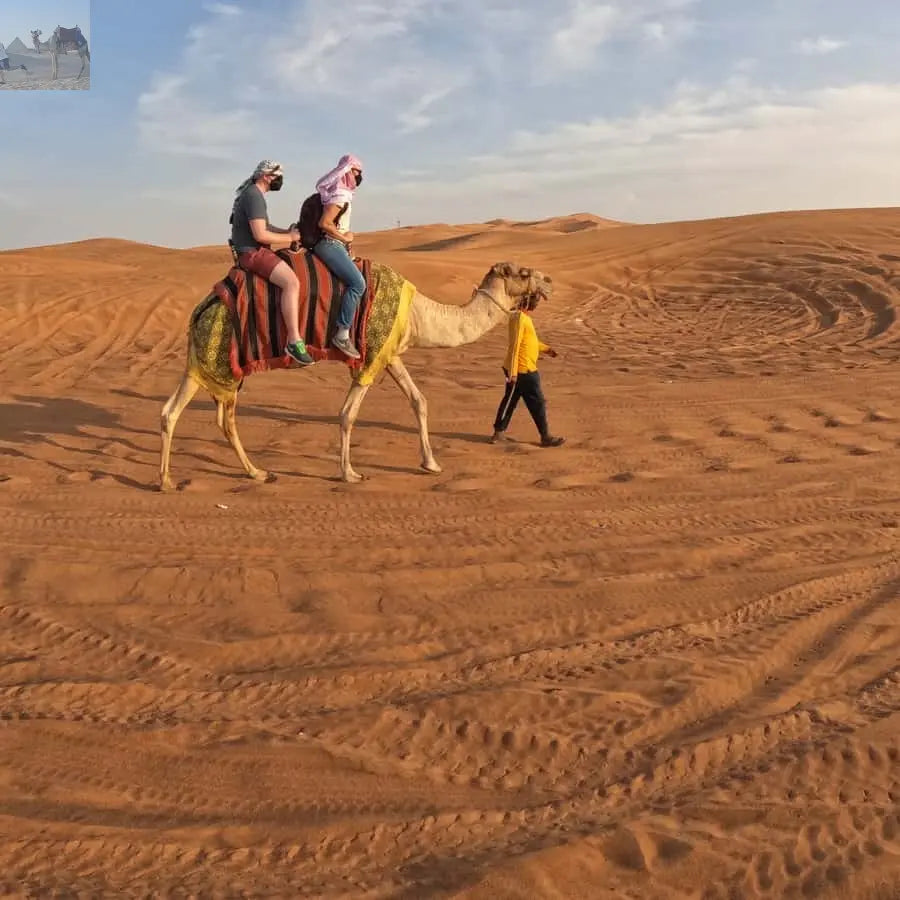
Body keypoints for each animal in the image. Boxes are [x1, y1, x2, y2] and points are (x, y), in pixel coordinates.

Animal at [159, 260, 552, 489]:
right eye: (523, 273)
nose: (549, 280)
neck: (419, 314)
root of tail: (201, 308)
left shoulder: (390, 353)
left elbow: (419, 401)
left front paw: (431, 464)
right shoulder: (370, 354)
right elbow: (348, 413)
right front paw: (349, 473)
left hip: (214, 364)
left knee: (208, 416)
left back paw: (250, 473)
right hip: (215, 357)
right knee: (185, 413)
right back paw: (175, 480)